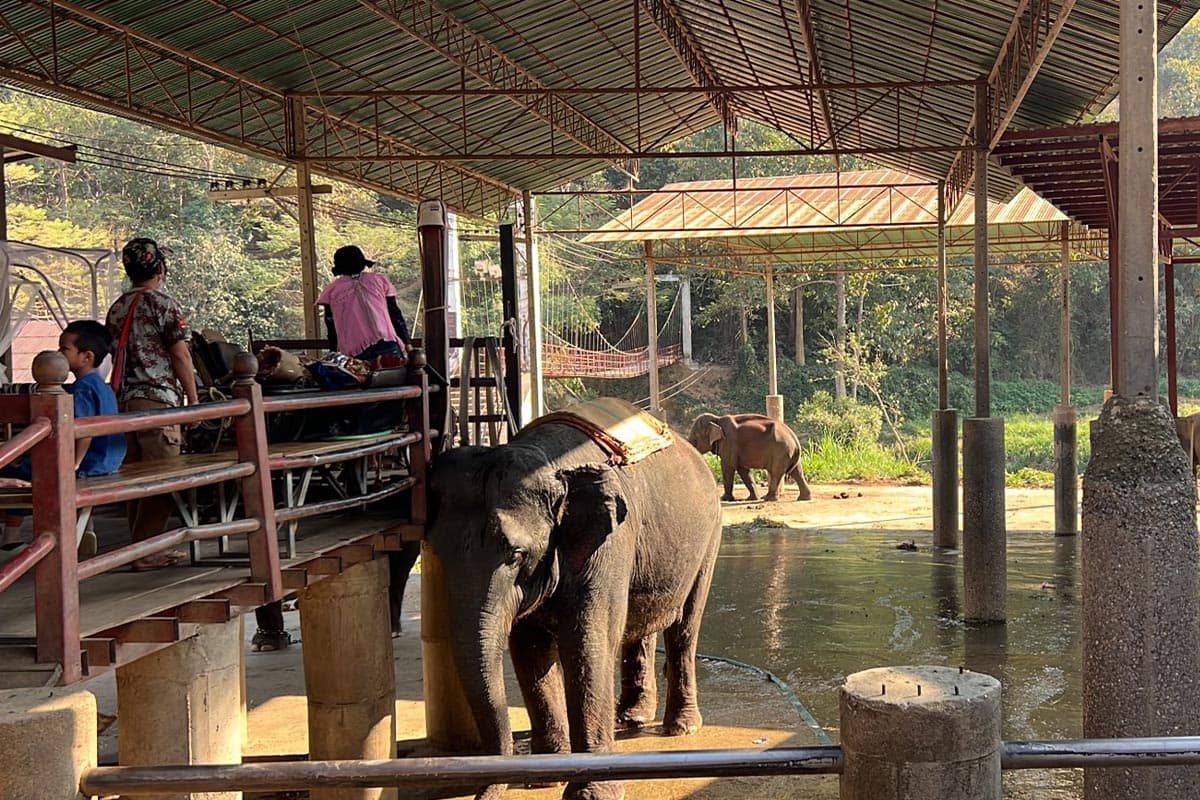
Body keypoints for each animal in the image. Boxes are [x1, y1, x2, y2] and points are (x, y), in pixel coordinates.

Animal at [427, 414, 723, 800]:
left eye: (516, 554)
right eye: (436, 553)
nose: (482, 791)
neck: (548, 464)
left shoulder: (609, 546)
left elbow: (586, 643)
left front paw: (591, 793)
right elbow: (529, 647)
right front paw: (542, 778)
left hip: (710, 536)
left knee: (685, 627)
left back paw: (681, 727)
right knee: (640, 624)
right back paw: (631, 718)